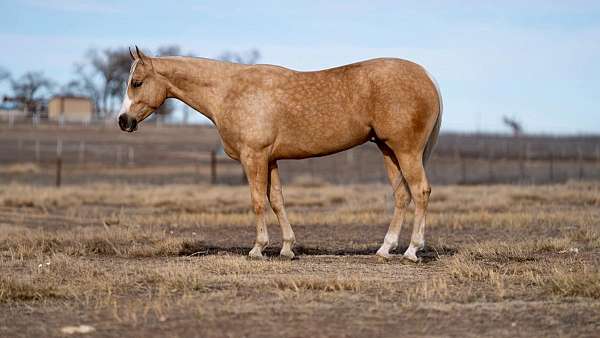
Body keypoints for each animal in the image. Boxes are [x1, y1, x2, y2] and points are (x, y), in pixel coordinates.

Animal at [119, 46, 442, 260]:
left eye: (137, 82)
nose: (124, 121)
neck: (229, 90)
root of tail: (427, 76)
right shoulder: (271, 159)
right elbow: (276, 201)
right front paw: (287, 247)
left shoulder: (254, 157)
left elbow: (257, 202)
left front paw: (258, 248)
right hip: (388, 150)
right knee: (402, 195)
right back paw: (385, 249)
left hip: (406, 151)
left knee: (420, 191)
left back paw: (412, 250)